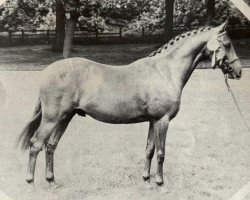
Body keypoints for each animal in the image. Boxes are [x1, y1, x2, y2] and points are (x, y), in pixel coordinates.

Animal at [17, 21, 242, 186]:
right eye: (227, 44)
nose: (239, 71)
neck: (165, 72)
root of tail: (47, 72)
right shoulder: (163, 120)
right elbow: (161, 152)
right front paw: (160, 183)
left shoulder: (153, 121)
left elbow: (149, 149)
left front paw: (146, 179)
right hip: (52, 119)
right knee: (36, 144)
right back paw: (31, 183)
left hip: (65, 118)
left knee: (50, 146)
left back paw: (52, 182)